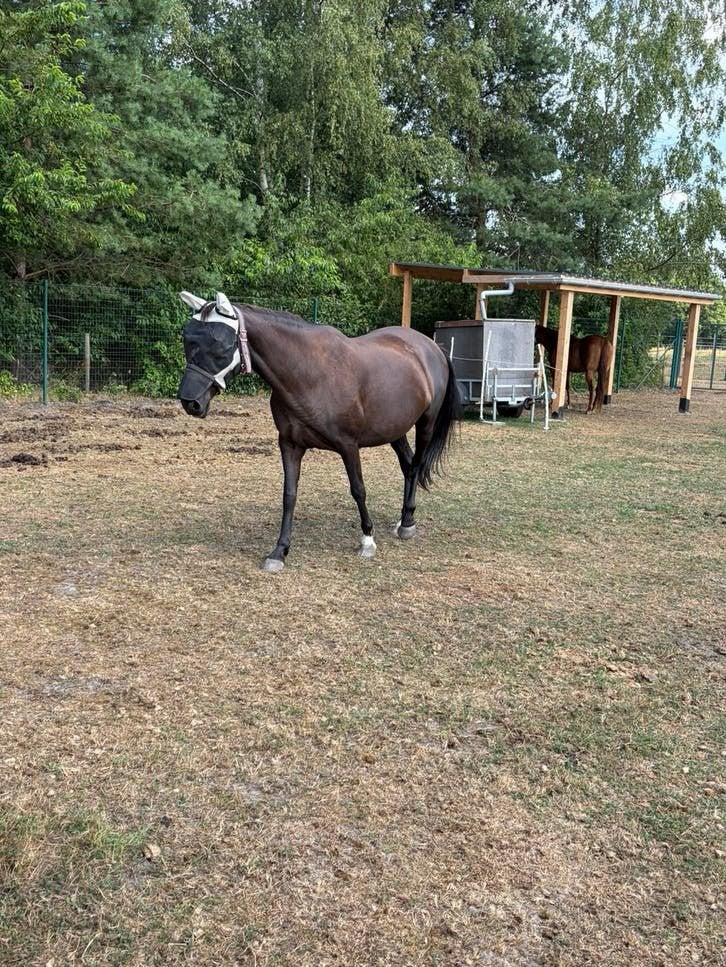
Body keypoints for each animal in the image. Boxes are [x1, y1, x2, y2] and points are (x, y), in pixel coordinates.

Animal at [177, 291, 462, 572]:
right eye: (187, 340)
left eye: (223, 346)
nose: (190, 402)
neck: (308, 374)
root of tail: (431, 347)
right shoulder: (290, 444)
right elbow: (289, 495)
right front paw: (279, 552)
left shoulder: (349, 446)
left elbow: (358, 489)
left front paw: (367, 540)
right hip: (394, 429)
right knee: (408, 465)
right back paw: (405, 518)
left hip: (425, 425)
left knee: (416, 465)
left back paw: (407, 524)